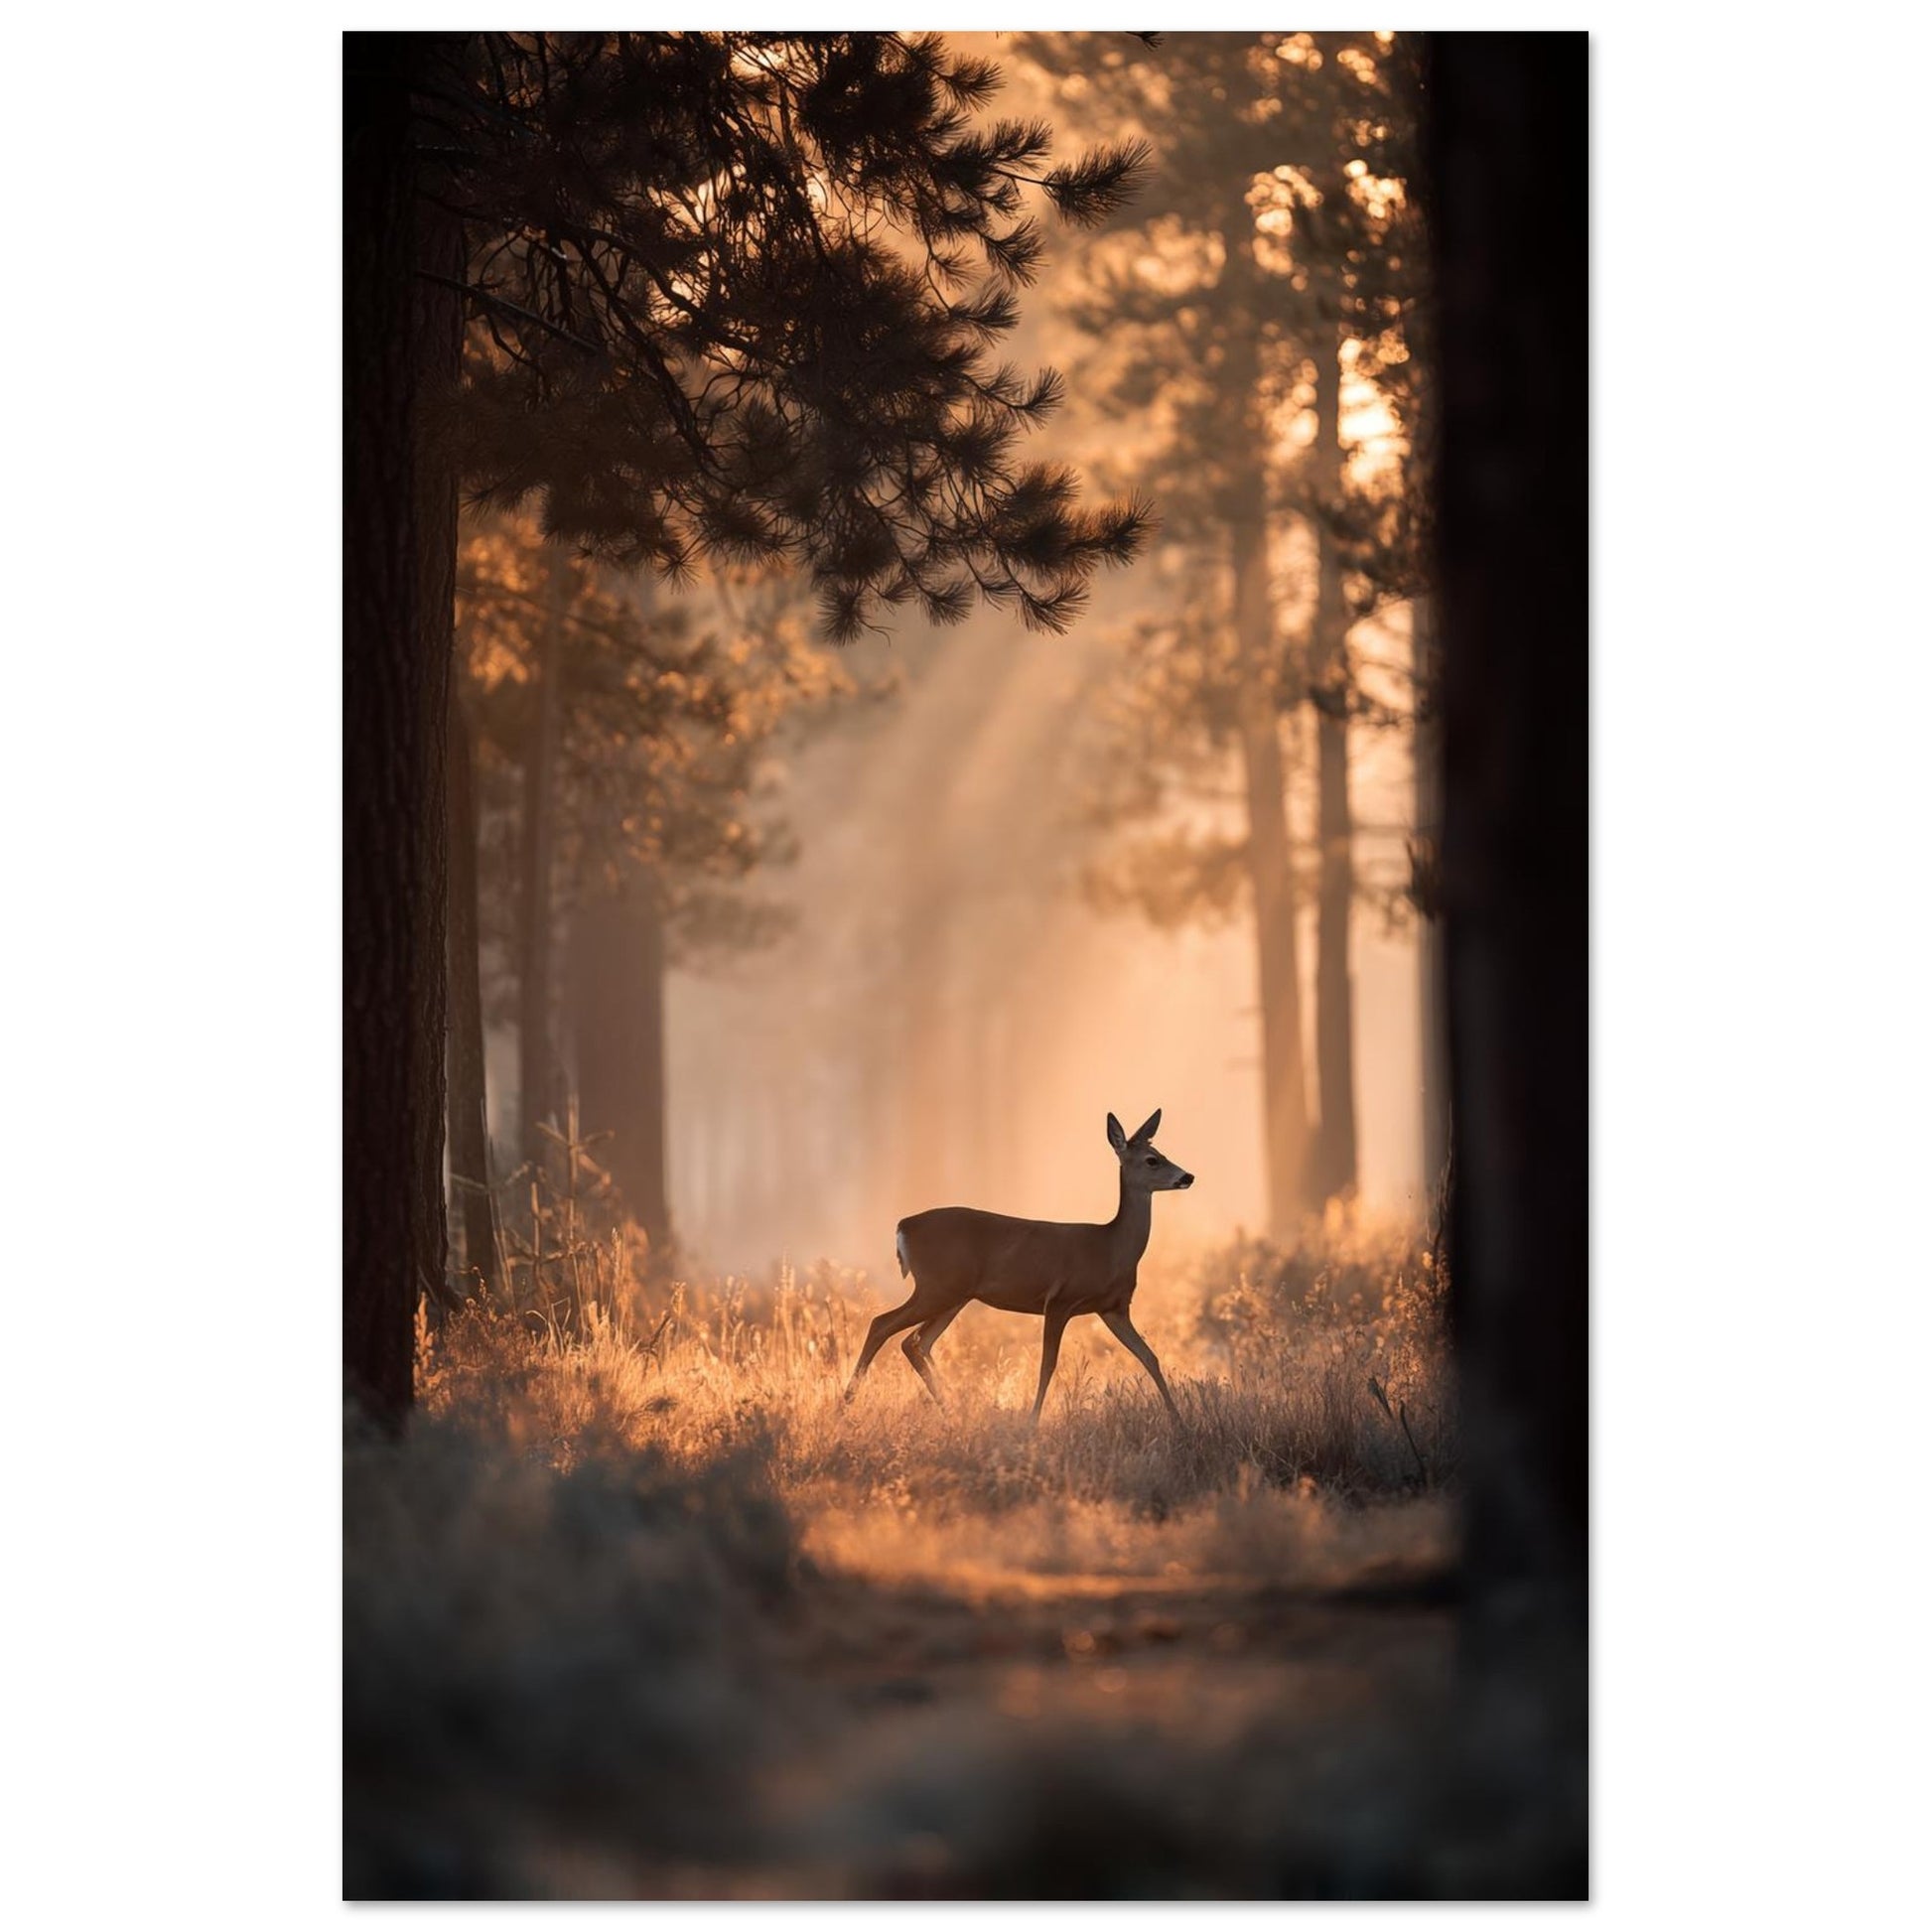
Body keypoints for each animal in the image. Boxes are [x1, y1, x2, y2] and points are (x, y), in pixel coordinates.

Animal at [843, 1107, 1194, 1425]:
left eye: (1161, 1153)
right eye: (1152, 1160)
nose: (1187, 1176)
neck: (1110, 1249)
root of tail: (903, 1226)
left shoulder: (1113, 1308)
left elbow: (1149, 1357)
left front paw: (1179, 1422)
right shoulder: (1060, 1300)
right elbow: (1047, 1365)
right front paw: (1032, 1423)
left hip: (953, 1295)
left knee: (916, 1342)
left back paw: (951, 1411)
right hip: (936, 1287)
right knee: (882, 1324)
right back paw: (846, 1403)